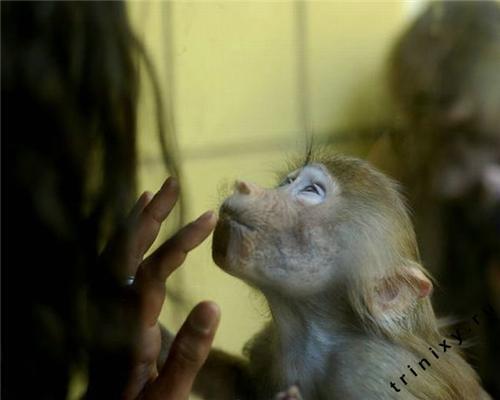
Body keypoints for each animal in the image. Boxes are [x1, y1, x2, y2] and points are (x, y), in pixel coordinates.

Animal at [193, 154, 490, 400]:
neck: (311, 333)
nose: (244, 186)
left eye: (310, 190)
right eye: (286, 182)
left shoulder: (374, 373)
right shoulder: (268, 349)